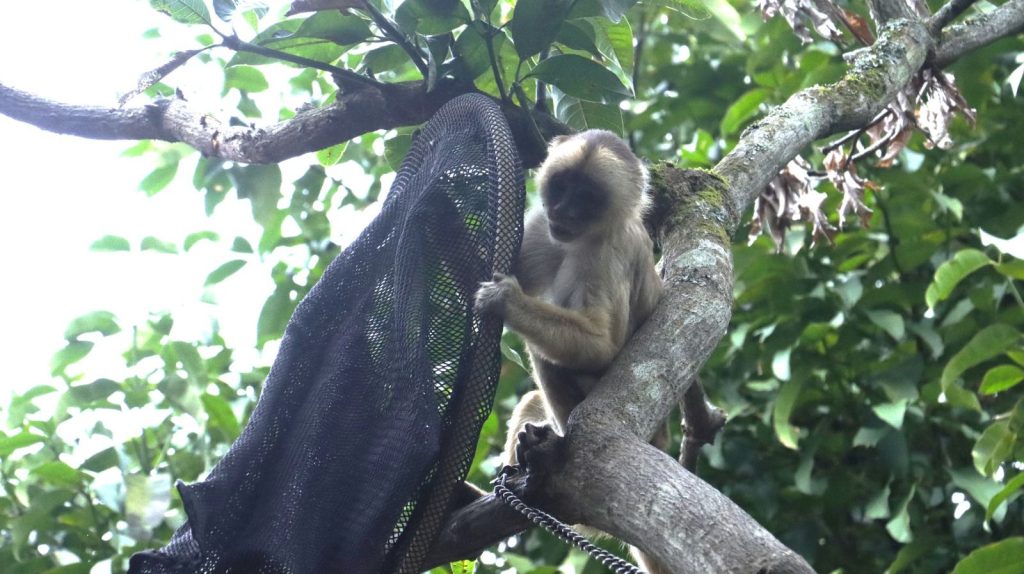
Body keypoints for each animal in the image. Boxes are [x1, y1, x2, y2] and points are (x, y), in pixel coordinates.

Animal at [475, 130, 666, 573]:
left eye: (586, 197)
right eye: (562, 187)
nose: (563, 210)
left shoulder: (609, 249)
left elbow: (601, 347)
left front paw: (507, 302)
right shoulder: (542, 226)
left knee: (548, 356)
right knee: (532, 398)